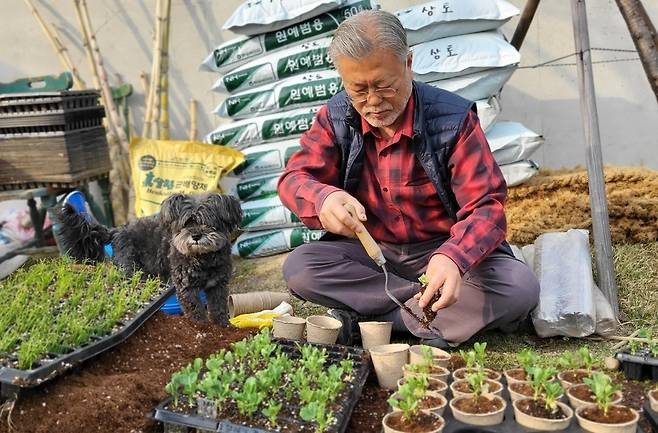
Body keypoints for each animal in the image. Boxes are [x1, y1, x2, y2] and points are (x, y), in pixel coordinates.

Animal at [56, 192, 241, 324]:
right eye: (186, 223)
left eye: (208, 223)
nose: (196, 236)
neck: (203, 257)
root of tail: (116, 231)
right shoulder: (187, 288)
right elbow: (195, 310)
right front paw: (202, 327)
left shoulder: (218, 285)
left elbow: (218, 309)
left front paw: (223, 327)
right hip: (130, 271)